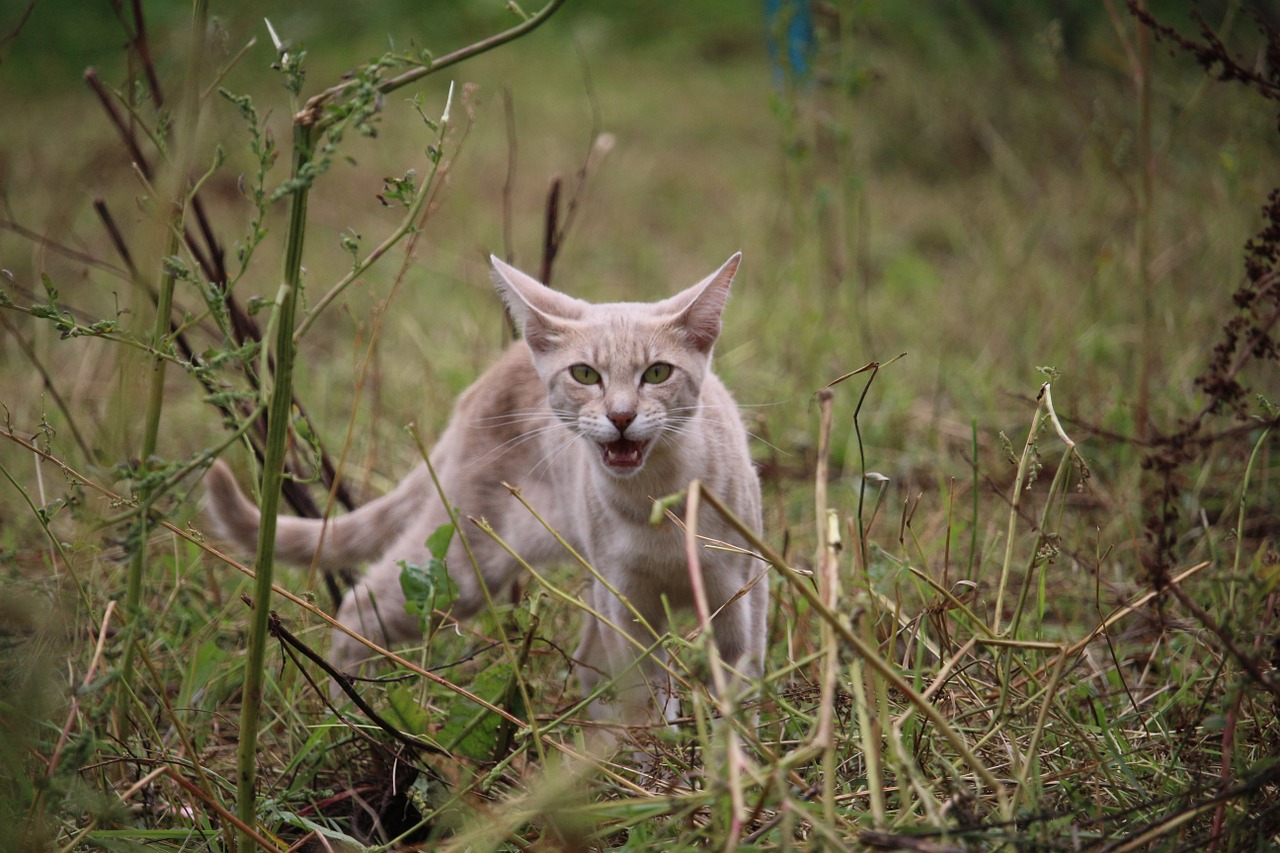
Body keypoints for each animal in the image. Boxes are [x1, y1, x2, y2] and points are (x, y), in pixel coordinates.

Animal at [204, 253, 762, 722]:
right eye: (585, 374)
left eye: (658, 372)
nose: (621, 417)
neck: (655, 503)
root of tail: (488, 377)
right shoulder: (626, 606)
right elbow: (646, 705)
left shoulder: (744, 594)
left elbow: (738, 697)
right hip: (462, 564)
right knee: (359, 606)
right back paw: (349, 716)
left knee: (587, 665)